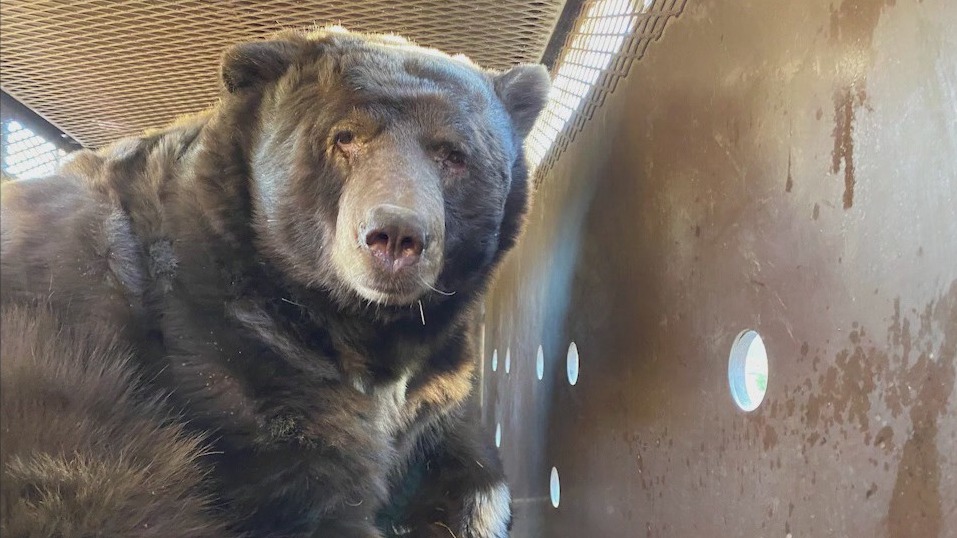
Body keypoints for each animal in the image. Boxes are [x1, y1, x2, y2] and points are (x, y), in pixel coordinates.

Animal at [0, 27, 549, 537]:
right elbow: (305, 488)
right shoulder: (231, 351)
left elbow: (468, 457)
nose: (395, 235)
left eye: (454, 155)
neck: (358, 325)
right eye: (345, 136)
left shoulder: (436, 384)